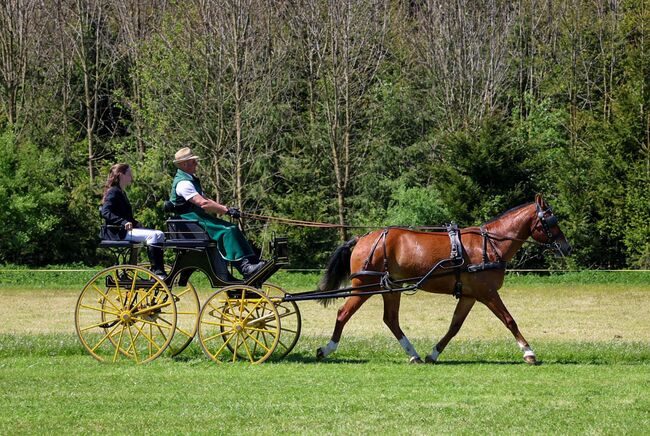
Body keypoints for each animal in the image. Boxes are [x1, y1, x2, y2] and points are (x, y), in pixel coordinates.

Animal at [314, 194, 568, 364]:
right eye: (551, 221)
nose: (567, 246)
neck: (490, 244)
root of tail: (362, 238)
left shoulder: (469, 295)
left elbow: (454, 326)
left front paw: (434, 353)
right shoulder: (487, 293)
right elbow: (509, 320)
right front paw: (529, 352)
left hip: (390, 288)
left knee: (391, 320)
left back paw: (414, 355)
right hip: (365, 286)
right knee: (344, 313)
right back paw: (327, 349)